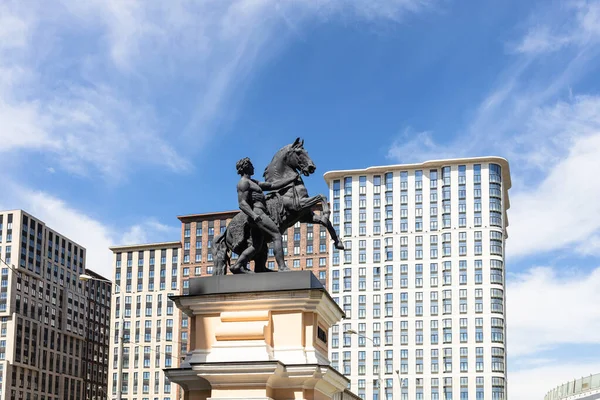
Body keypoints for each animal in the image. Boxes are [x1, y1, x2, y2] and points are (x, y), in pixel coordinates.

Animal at [212, 138, 342, 276]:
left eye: (306, 151)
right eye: (299, 152)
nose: (312, 167)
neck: (287, 187)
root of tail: (226, 231)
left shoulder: (305, 215)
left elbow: (326, 222)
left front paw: (339, 243)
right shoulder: (299, 206)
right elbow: (321, 197)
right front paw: (326, 213)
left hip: (261, 245)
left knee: (257, 264)